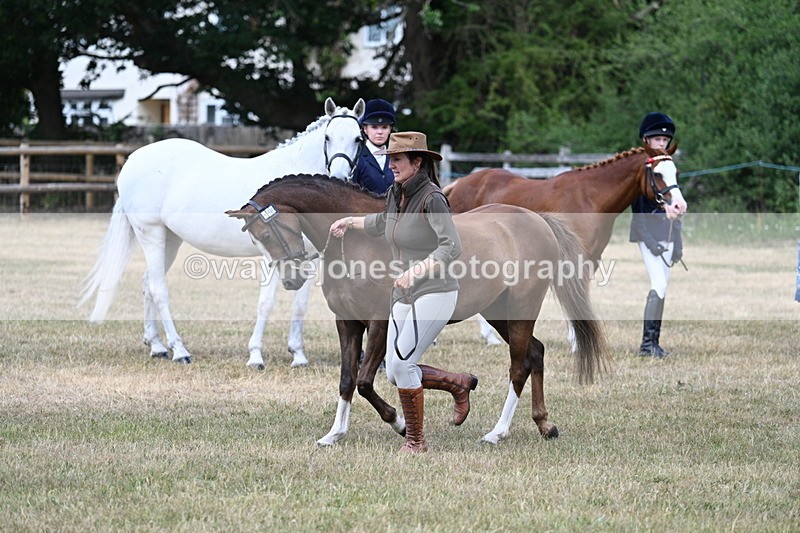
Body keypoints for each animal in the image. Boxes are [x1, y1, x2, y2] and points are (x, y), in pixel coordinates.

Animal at [79, 98, 365, 367]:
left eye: (358, 138)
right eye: (328, 137)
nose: (340, 177)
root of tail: (132, 160)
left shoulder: (307, 255)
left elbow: (300, 304)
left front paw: (298, 355)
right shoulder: (273, 253)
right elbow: (266, 303)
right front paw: (256, 356)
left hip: (170, 239)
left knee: (147, 283)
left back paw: (157, 346)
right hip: (151, 234)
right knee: (158, 289)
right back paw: (179, 351)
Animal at [227, 175, 608, 446]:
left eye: (267, 233)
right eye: (256, 238)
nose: (291, 279)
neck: (358, 242)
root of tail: (537, 220)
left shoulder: (380, 323)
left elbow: (365, 381)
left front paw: (397, 421)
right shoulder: (347, 323)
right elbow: (347, 379)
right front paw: (334, 434)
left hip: (522, 309)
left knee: (519, 366)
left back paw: (497, 432)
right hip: (498, 312)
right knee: (536, 353)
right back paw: (544, 424)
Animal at [442, 144, 688, 344]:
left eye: (676, 172)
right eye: (657, 173)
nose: (679, 206)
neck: (590, 198)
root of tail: (459, 183)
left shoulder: (592, 259)